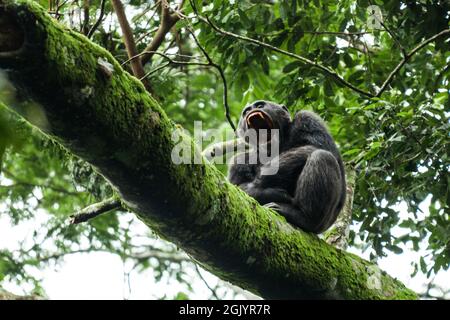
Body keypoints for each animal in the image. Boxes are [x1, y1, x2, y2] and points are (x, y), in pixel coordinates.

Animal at [230, 101, 346, 234]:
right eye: (246, 111)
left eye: (260, 105)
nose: (252, 110)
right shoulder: (238, 162)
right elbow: (238, 188)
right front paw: (271, 192)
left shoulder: (307, 119)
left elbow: (318, 146)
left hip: (325, 222)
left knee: (322, 156)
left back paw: (305, 217)